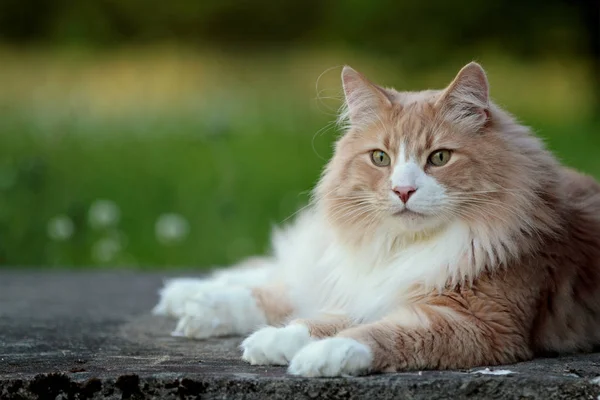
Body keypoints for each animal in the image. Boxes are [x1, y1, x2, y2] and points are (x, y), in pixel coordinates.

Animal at [151, 63, 600, 378]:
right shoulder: (374, 289)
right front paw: (280, 341)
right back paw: (190, 300)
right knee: (279, 279)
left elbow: (376, 332)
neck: (404, 250)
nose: (403, 191)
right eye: (381, 158)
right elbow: (317, 320)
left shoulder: (480, 323)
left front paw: (321, 355)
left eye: (439, 157)